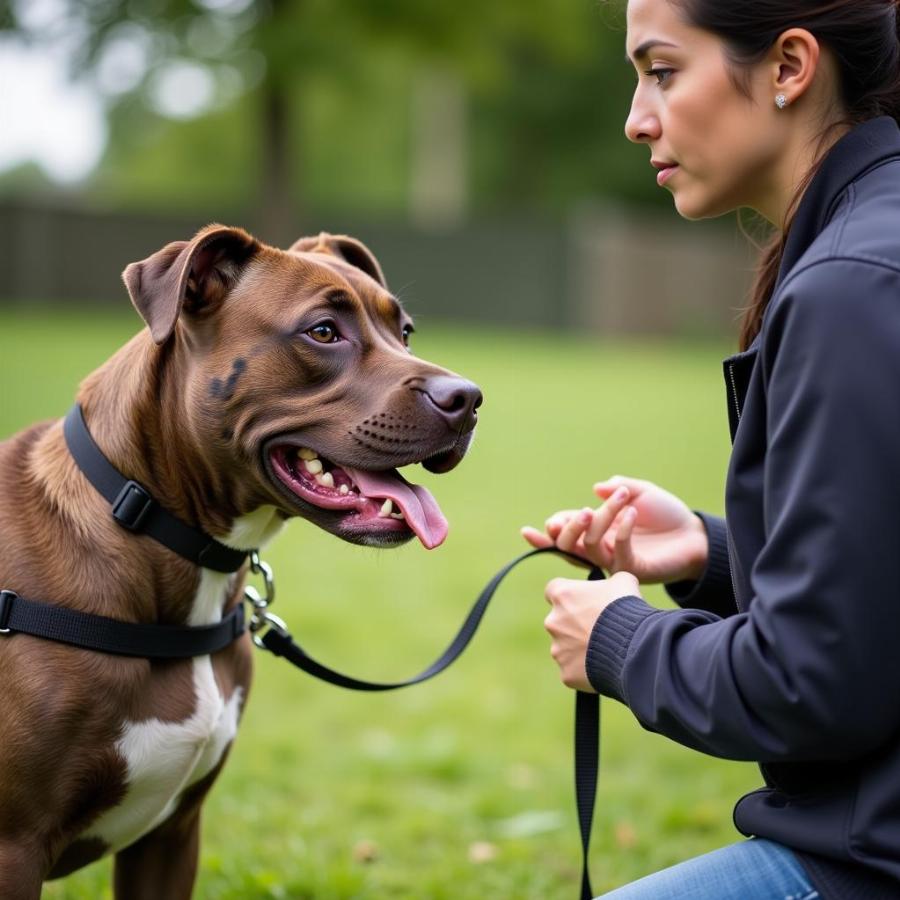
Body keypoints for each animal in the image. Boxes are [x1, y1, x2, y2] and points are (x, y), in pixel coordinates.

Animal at [0, 223, 482, 892]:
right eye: (323, 332)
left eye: (404, 331)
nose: (469, 398)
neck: (141, 514)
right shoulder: (14, 847)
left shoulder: (171, 837)